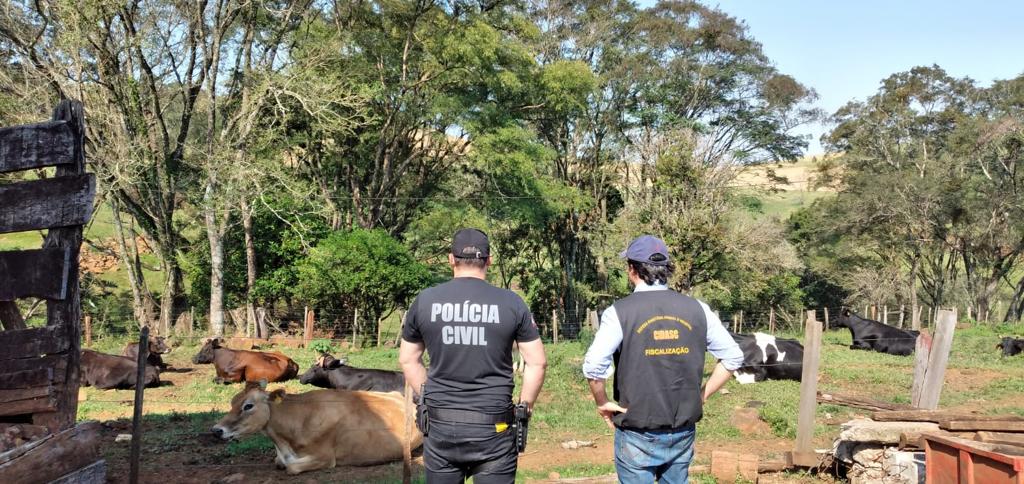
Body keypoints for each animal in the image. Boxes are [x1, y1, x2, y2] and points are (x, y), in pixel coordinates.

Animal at [211, 380, 423, 470]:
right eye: (232, 401)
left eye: (248, 406)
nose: (215, 430)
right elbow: (280, 463)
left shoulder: (325, 457)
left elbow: (291, 467)